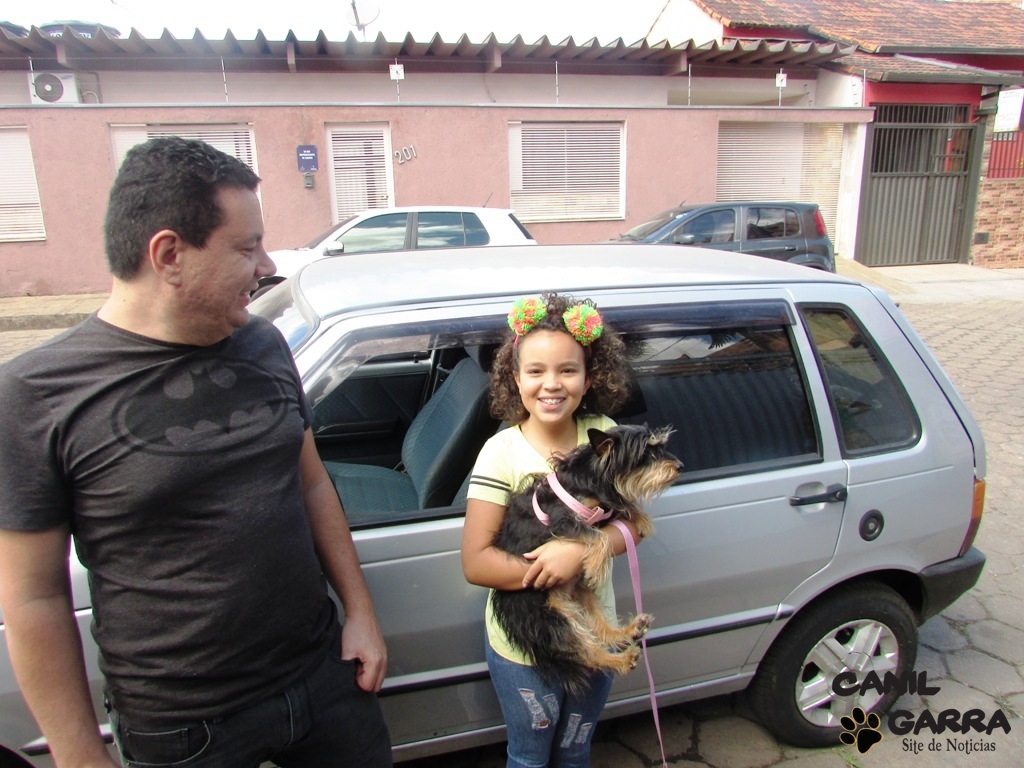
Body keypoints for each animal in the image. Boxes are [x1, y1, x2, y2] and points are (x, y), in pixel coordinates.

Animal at [490, 424, 682, 694]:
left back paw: (629, 632)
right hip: (552, 618)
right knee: (587, 652)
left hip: (583, 597)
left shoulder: (603, 506)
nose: (680, 466)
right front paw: (596, 566)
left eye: (661, 446)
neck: (594, 476)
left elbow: (619, 509)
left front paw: (640, 518)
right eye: (645, 454)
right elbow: (598, 535)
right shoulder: (561, 519)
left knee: (600, 630)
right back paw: (621, 660)